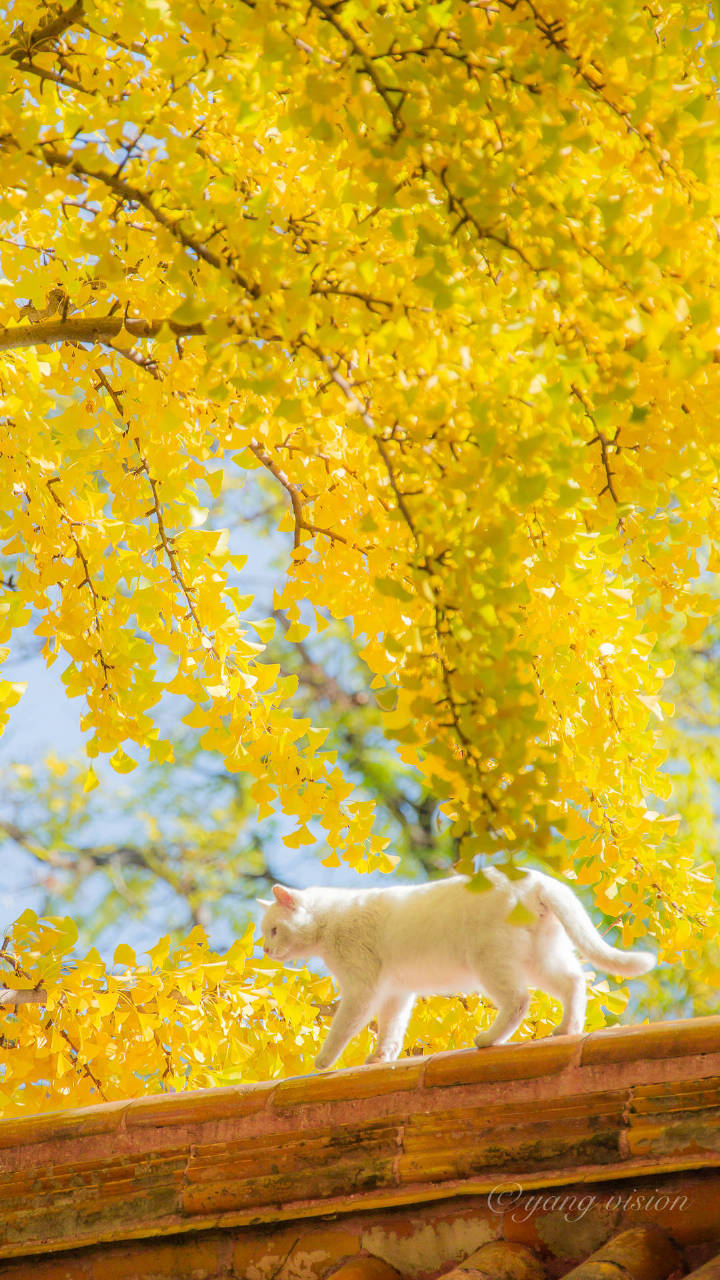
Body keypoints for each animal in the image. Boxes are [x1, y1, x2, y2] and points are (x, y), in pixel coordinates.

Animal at [260, 870, 653, 1070]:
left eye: (274, 930)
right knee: (573, 983)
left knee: (518, 1000)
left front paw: (322, 1062)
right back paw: (566, 1029)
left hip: (491, 962)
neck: (329, 922)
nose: (265, 948)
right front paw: (381, 1058)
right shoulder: (395, 993)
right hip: (540, 959)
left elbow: (342, 1028)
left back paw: (488, 1039)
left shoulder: (362, 990)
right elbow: (391, 1031)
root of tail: (535, 879)